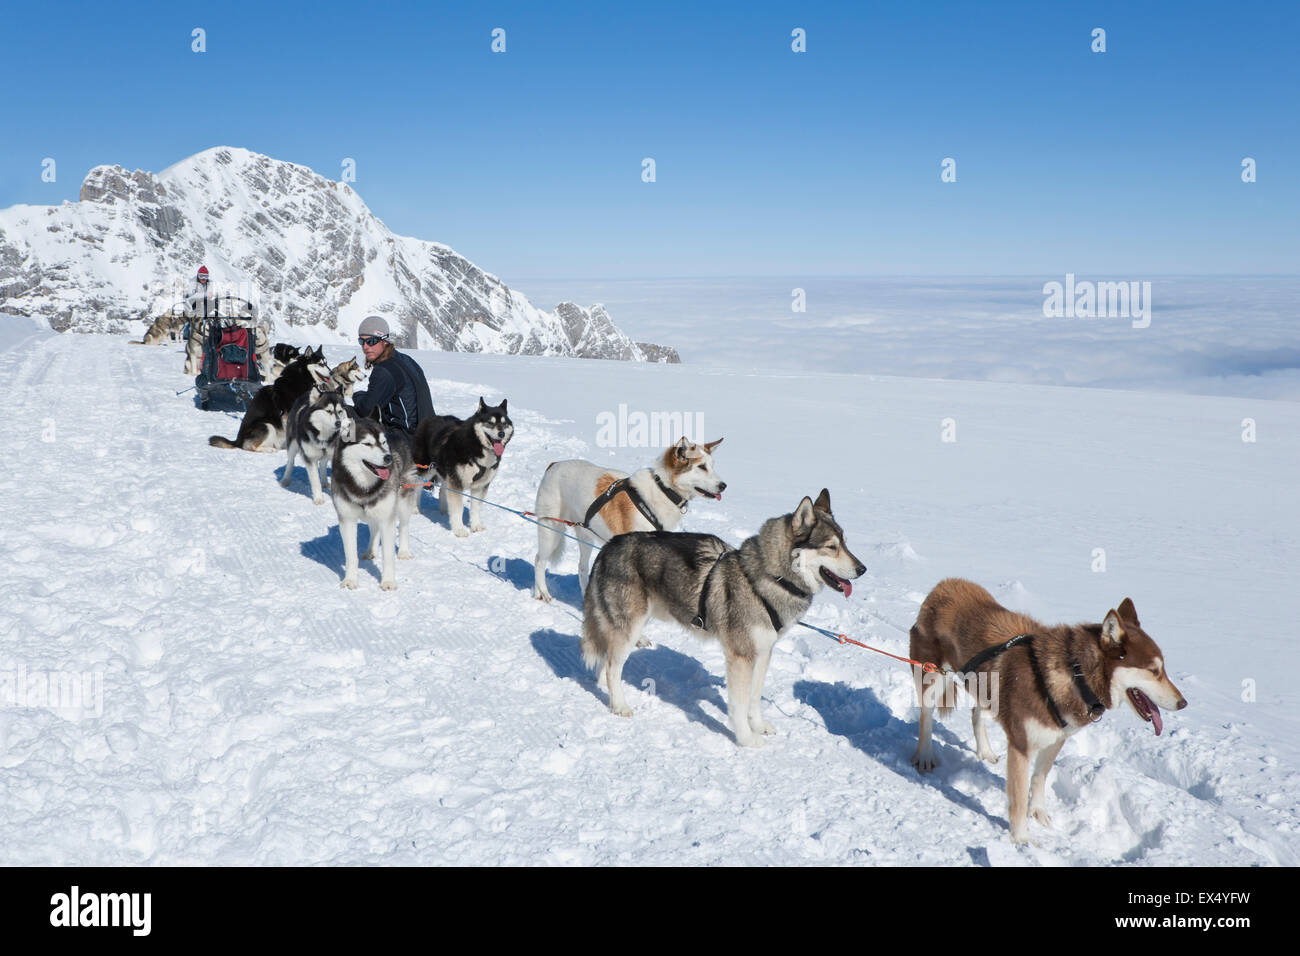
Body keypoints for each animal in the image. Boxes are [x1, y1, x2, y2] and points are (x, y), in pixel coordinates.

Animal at [332, 408, 418, 590]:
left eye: (384, 442)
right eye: (367, 444)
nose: (388, 458)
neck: (364, 487)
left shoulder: (387, 519)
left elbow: (388, 555)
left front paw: (388, 582)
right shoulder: (347, 520)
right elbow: (351, 556)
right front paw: (350, 580)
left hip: (403, 502)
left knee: (404, 525)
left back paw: (404, 551)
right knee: (374, 528)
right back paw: (370, 551)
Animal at [416, 398, 517, 538]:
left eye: (504, 423)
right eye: (490, 423)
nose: (501, 433)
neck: (476, 447)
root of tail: (430, 418)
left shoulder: (480, 486)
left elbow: (476, 508)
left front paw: (476, 525)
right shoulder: (457, 483)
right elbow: (458, 508)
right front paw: (459, 529)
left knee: (443, 491)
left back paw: (444, 511)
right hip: (425, 469)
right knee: (416, 488)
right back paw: (415, 509)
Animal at [533, 437, 728, 600]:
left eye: (712, 465)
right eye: (701, 467)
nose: (724, 485)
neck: (662, 489)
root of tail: (554, 465)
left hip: (585, 536)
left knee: (581, 567)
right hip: (551, 530)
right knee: (539, 560)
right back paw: (543, 592)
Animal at [579, 494, 863, 749]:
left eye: (846, 543)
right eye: (831, 547)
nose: (863, 569)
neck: (770, 578)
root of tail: (609, 545)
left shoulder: (763, 653)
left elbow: (754, 698)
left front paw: (758, 725)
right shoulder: (741, 656)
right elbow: (739, 704)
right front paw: (746, 738)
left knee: (608, 662)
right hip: (630, 627)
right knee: (613, 666)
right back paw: (619, 705)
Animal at [909, 580, 1190, 848]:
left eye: (1164, 669)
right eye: (1154, 670)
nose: (1183, 702)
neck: (1076, 676)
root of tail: (943, 585)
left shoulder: (1055, 739)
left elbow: (1039, 778)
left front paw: (1037, 812)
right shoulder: (1020, 747)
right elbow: (1018, 797)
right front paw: (1021, 838)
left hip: (984, 686)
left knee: (976, 712)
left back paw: (984, 751)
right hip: (931, 678)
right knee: (925, 718)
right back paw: (924, 756)